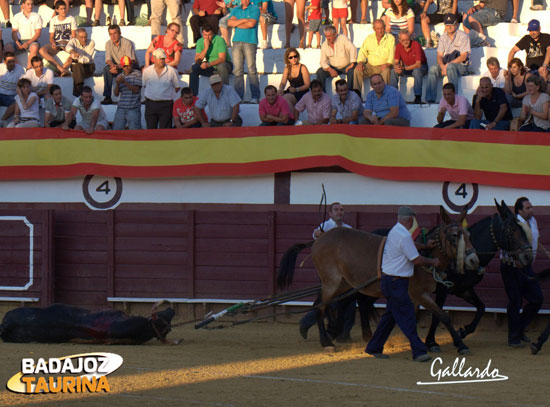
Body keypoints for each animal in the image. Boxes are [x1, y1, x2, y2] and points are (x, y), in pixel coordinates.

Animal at [278, 207, 480, 354]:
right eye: (454, 236)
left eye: (469, 235)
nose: (473, 260)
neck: (424, 255)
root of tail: (320, 238)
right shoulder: (420, 294)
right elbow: (442, 316)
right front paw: (460, 344)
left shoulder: (413, 297)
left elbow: (412, 318)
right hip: (331, 282)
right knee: (322, 307)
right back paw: (327, 341)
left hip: (343, 284)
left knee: (321, 304)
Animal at [422, 202, 536, 354]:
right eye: (511, 230)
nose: (528, 256)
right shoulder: (442, 288)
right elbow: (437, 314)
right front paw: (431, 342)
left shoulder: (463, 289)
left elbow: (481, 307)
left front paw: (463, 332)